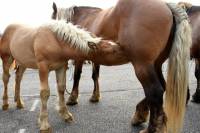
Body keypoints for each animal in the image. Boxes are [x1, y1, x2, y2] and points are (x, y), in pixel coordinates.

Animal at [52, 0, 192, 132]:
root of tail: (167, 5)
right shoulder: (96, 58)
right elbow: (95, 76)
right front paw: (95, 96)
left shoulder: (79, 58)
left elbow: (77, 76)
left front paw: (72, 98)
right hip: (156, 64)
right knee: (162, 87)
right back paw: (142, 116)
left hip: (142, 65)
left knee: (155, 92)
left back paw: (150, 128)